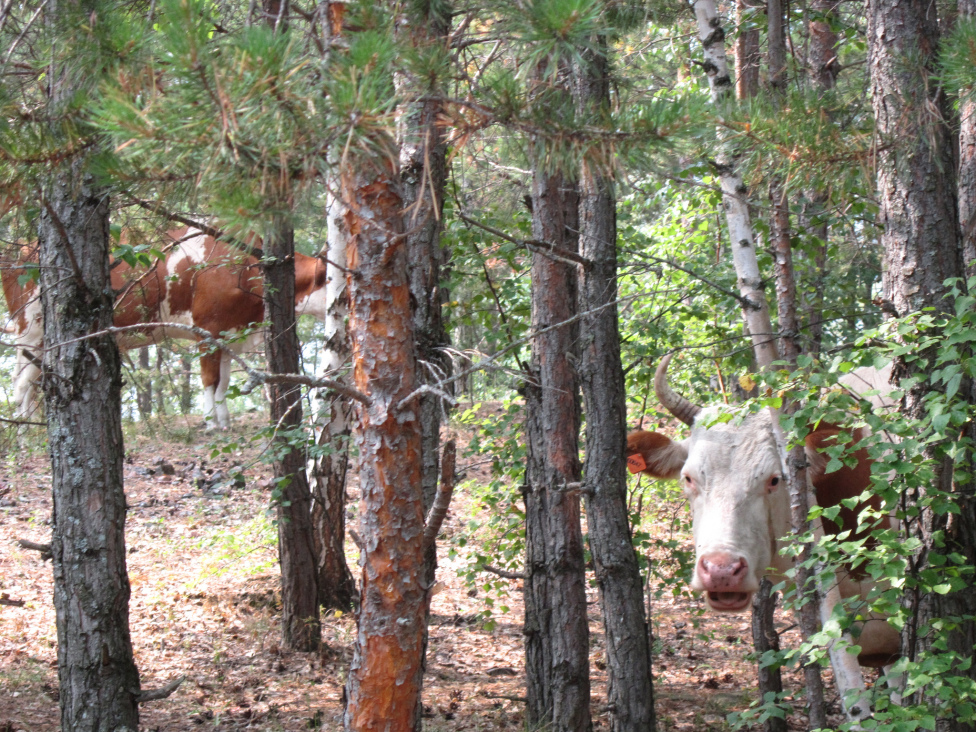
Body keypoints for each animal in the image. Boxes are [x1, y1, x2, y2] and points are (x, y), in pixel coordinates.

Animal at [0, 226, 332, 426]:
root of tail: (21, 250)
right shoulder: (208, 330)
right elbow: (210, 379)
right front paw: (211, 422)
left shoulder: (228, 333)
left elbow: (224, 381)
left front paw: (224, 420)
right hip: (31, 332)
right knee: (21, 383)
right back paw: (25, 431)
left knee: (34, 380)